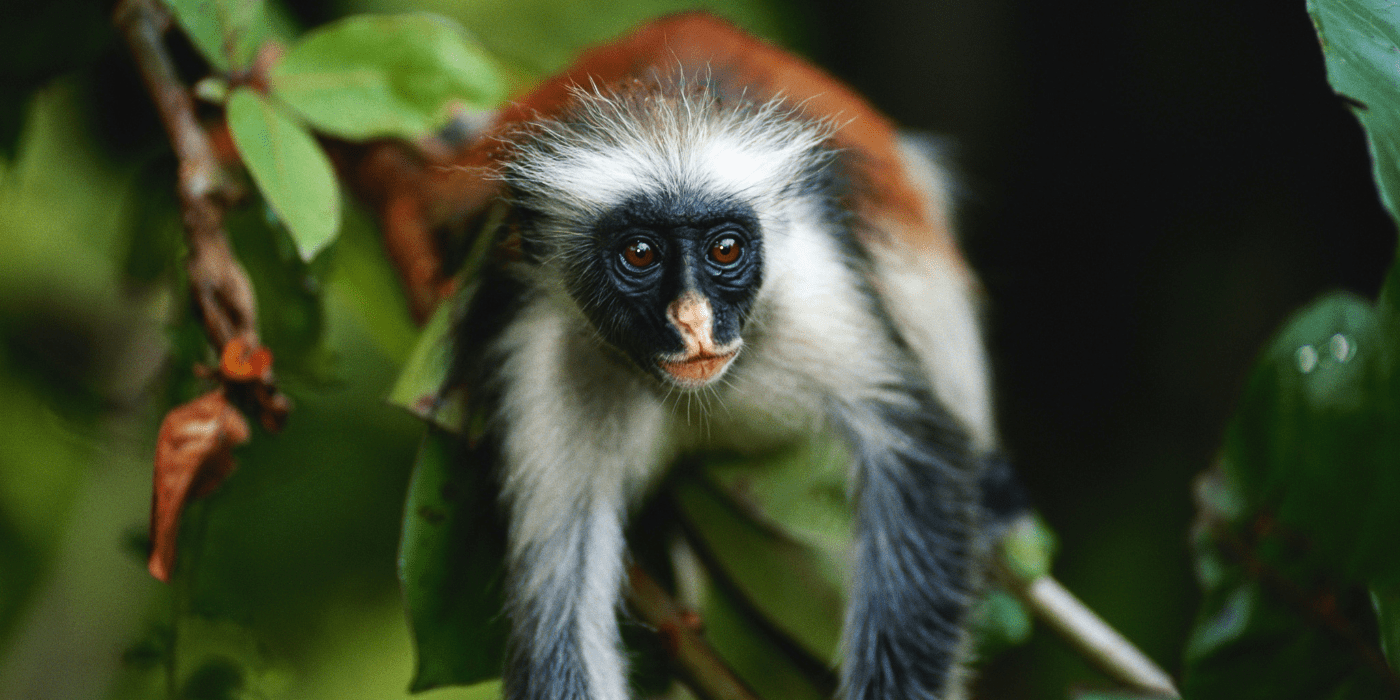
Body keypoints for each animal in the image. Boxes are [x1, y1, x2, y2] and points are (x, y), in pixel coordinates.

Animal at [445, 10, 1008, 700]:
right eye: (639, 254)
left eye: (725, 249)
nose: (693, 321)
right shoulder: (544, 349)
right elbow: (557, 612)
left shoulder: (813, 287)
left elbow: (918, 453)